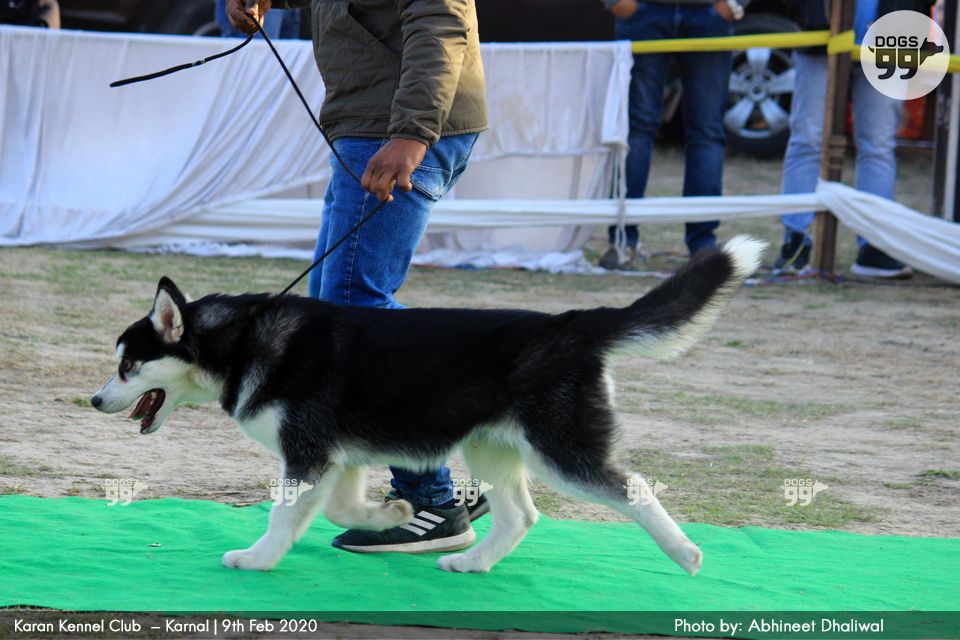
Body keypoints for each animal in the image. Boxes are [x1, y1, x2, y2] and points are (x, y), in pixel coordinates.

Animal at [91, 236, 763, 575]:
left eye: (128, 365)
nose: (95, 400)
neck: (244, 341)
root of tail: (572, 321)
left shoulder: (307, 454)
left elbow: (284, 517)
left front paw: (257, 559)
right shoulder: (337, 456)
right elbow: (339, 508)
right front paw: (390, 515)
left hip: (562, 453)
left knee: (634, 488)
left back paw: (685, 553)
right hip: (491, 449)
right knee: (521, 517)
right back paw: (474, 563)